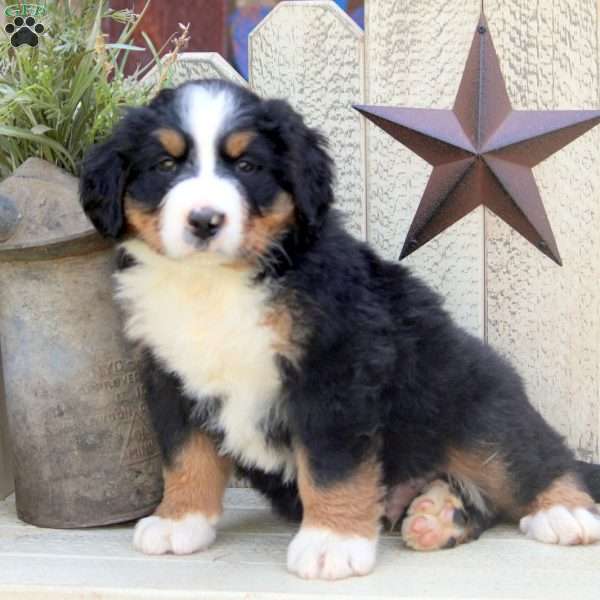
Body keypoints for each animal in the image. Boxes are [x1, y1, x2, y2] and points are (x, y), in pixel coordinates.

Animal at [79, 77, 600, 580]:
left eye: (246, 166)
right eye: (165, 164)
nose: (205, 220)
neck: (214, 284)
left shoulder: (335, 369)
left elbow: (332, 465)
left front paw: (331, 542)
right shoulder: (170, 376)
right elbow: (185, 455)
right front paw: (180, 520)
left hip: (472, 402)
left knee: (528, 458)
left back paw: (563, 512)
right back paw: (439, 515)